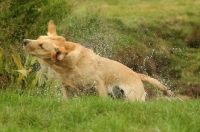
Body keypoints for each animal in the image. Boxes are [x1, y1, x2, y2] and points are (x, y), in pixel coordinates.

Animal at [23, 20, 173, 101]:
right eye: (38, 38)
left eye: (42, 46)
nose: (24, 41)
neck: (71, 66)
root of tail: (136, 74)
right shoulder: (67, 89)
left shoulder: (98, 84)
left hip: (133, 97)